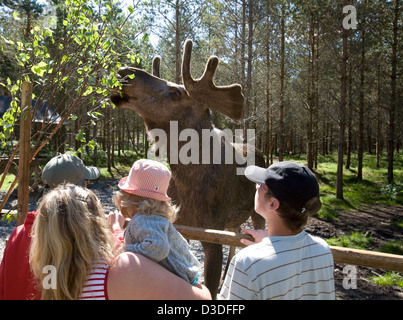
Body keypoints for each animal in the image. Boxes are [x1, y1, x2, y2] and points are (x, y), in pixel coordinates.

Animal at [110, 40, 266, 298]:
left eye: (176, 92)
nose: (123, 72)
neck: (188, 182)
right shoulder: (183, 225)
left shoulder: (212, 233)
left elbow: (209, 285)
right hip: (233, 221)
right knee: (236, 242)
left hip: (257, 213)